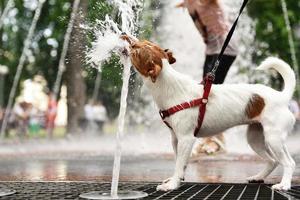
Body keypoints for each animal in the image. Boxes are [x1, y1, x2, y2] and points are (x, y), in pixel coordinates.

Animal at [121, 35, 296, 191]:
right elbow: (179, 162)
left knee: (288, 163)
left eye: (136, 50)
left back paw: (284, 185)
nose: (126, 36)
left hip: (273, 138)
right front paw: (176, 179)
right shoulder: (175, 139)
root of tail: (282, 96)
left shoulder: (186, 139)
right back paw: (258, 177)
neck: (169, 86)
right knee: (275, 161)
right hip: (256, 138)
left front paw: (172, 185)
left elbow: (179, 163)